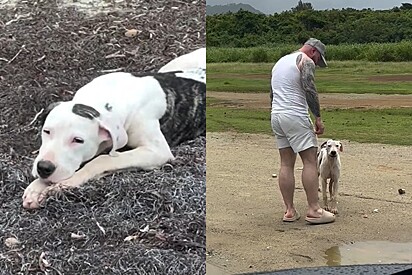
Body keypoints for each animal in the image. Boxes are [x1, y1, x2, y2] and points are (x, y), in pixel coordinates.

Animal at [21, 53, 205, 209]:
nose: (44, 168)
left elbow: (102, 160)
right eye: (46, 131)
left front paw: (65, 184)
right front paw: (36, 188)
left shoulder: (157, 151)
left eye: (78, 140)